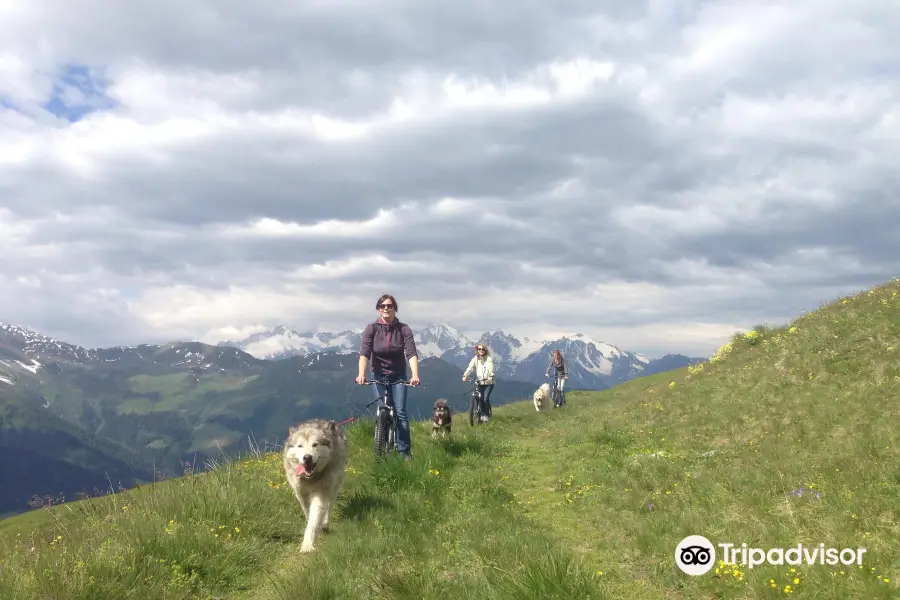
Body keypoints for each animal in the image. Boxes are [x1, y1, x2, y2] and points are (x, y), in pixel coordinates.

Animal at [284, 418, 350, 552]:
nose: (307, 457)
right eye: (300, 446)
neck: (310, 479)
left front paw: (307, 545)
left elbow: (314, 520)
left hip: (334, 487)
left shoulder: (320, 494)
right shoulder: (301, 494)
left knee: (329, 506)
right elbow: (308, 514)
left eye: (315, 445)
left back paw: (325, 524)